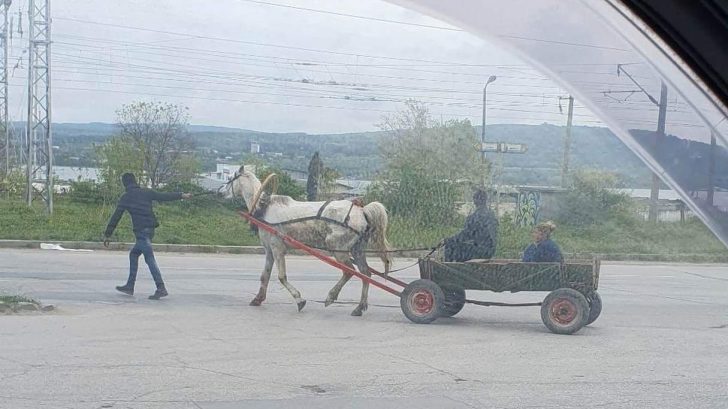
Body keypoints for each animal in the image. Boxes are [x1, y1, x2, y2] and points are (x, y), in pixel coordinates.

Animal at [224, 166, 393, 316]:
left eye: (230, 178)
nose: (220, 192)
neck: (263, 207)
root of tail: (362, 210)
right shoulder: (269, 250)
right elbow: (265, 275)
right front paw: (258, 299)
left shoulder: (277, 248)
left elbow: (281, 277)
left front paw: (299, 300)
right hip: (357, 250)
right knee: (366, 273)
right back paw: (359, 307)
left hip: (338, 248)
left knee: (349, 271)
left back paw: (331, 297)